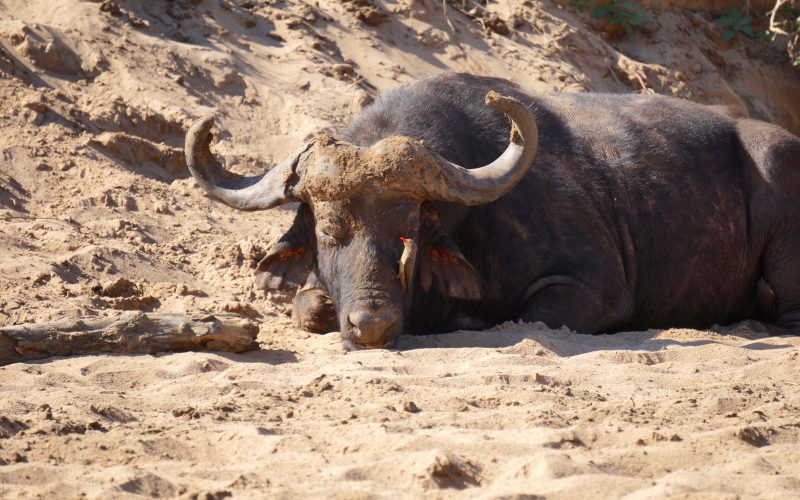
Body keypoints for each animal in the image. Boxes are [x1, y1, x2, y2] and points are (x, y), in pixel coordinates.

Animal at [184, 72, 800, 350]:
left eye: (408, 229)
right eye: (330, 231)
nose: (372, 325)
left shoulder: (595, 290)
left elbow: (520, 317)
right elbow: (309, 306)